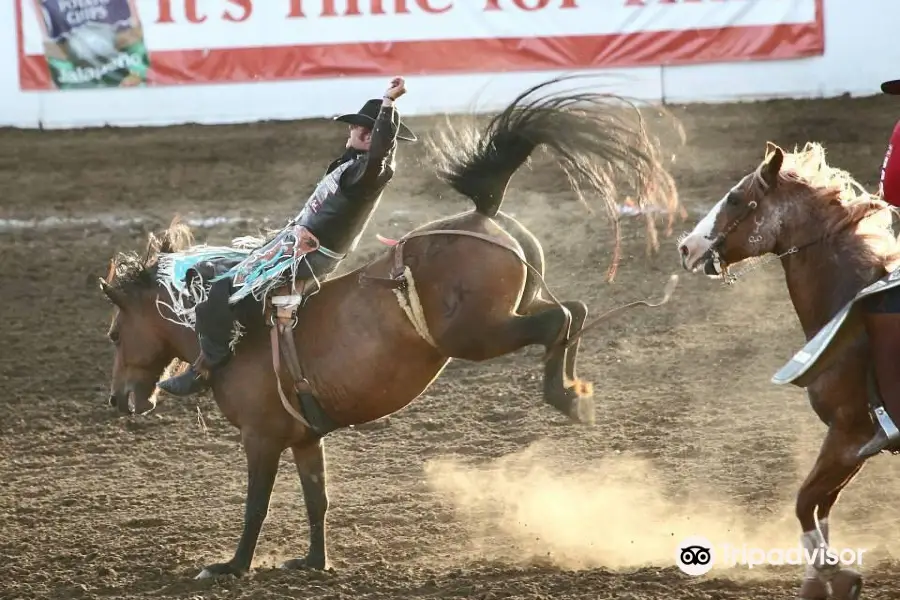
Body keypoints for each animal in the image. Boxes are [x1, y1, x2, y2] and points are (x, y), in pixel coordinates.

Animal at [100, 77, 684, 580]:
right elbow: (317, 499)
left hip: (477, 334)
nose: (118, 398)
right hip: (514, 306)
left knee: (559, 319)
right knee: (575, 310)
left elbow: (256, 506)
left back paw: (563, 395)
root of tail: (483, 213)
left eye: (114, 335)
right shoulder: (304, 436)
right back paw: (574, 392)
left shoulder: (261, 437)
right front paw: (313, 562)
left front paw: (231, 567)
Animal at [676, 142, 900, 600]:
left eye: (735, 198)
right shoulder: (854, 445)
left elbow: (804, 502)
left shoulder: (849, 434)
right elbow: (820, 505)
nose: (686, 248)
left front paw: (835, 574)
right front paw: (819, 579)